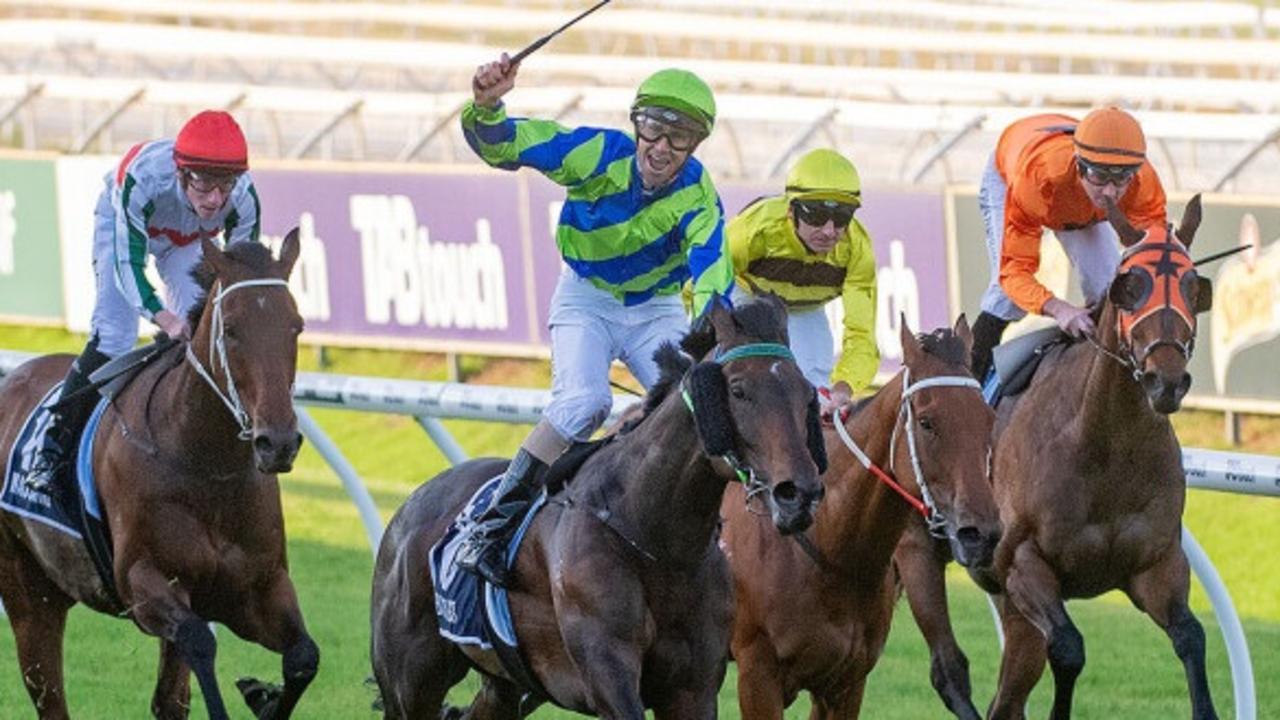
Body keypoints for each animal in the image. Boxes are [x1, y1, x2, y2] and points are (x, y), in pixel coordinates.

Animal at [0, 233, 318, 712]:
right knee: (48, 693)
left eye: (296, 326)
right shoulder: (143, 585)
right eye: (231, 330)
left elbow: (303, 656)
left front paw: (262, 695)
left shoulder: (257, 588)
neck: (207, 466)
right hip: (29, 595)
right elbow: (200, 642)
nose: (277, 442)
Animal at [371, 293, 829, 717]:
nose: (798, 493)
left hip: (501, 683)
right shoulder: (608, 672)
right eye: (737, 390)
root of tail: (410, 506)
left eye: (805, 392)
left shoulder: (692, 686)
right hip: (410, 682)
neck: (658, 540)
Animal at [962, 196, 1218, 717]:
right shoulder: (1023, 564)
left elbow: (1192, 637)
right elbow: (1069, 649)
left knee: (1007, 699)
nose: (1166, 380)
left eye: (1192, 286)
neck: (1106, 445)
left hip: (1013, 614)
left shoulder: (1157, 565)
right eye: (1131, 286)